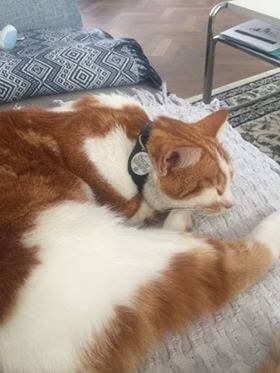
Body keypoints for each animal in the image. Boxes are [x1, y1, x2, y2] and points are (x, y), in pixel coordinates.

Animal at [0, 93, 278, 372]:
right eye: (217, 187)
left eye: (231, 178)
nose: (232, 203)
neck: (134, 144)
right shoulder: (126, 206)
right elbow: (153, 206)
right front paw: (180, 211)